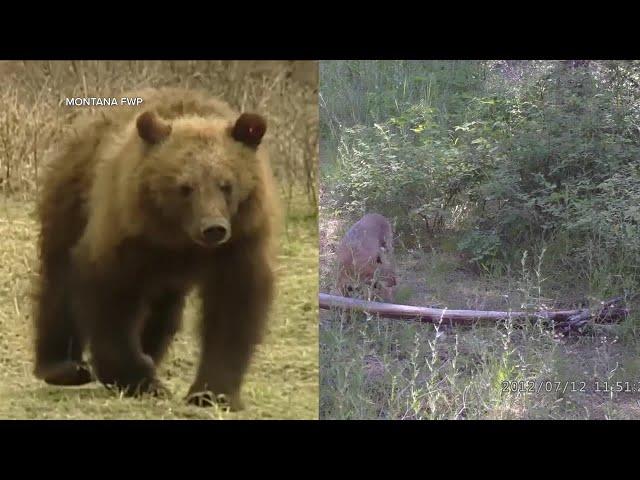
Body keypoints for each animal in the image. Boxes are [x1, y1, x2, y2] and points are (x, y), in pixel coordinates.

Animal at [31, 86, 278, 408]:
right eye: (185, 187)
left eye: (227, 184)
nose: (213, 227)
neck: (179, 238)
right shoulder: (126, 233)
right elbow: (110, 296)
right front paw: (141, 379)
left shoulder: (240, 241)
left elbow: (233, 307)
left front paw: (212, 392)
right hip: (73, 194)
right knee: (58, 276)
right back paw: (63, 366)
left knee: (162, 311)